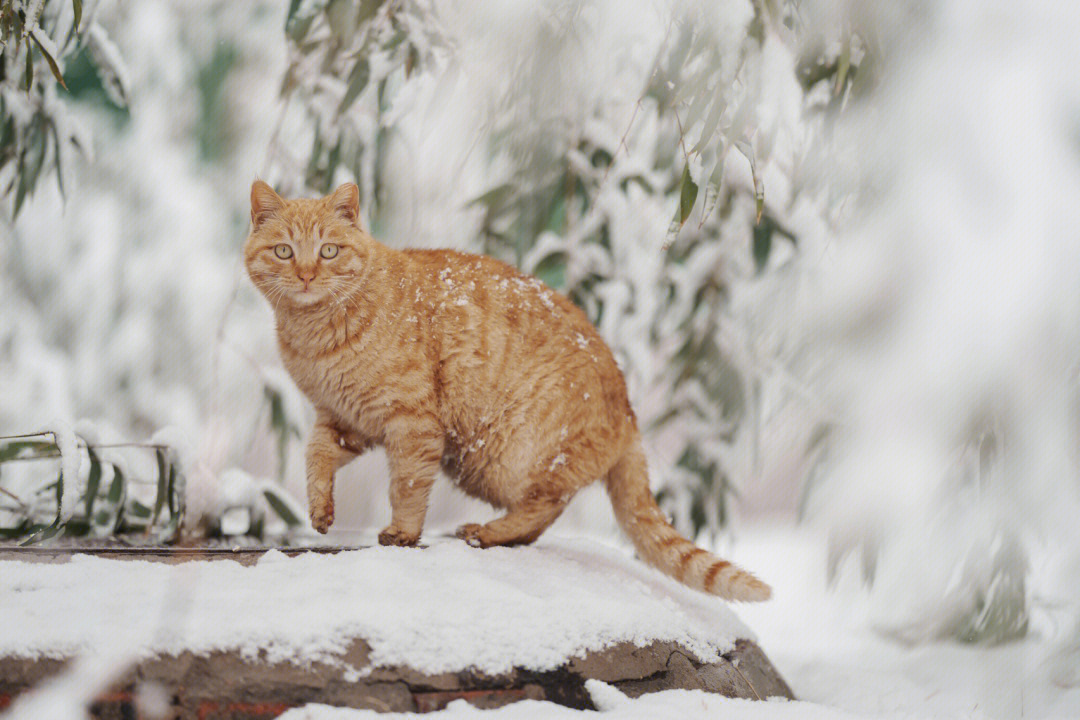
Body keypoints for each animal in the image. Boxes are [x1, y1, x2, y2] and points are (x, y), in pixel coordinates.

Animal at [243, 180, 768, 604]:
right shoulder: (342, 419)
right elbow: (315, 456)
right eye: (284, 251)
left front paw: (402, 533)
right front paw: (320, 510)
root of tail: (628, 409)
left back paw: (488, 532)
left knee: (547, 504)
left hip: (500, 456)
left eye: (328, 251)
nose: (306, 275)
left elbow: (406, 487)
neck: (315, 336)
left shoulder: (412, 423)